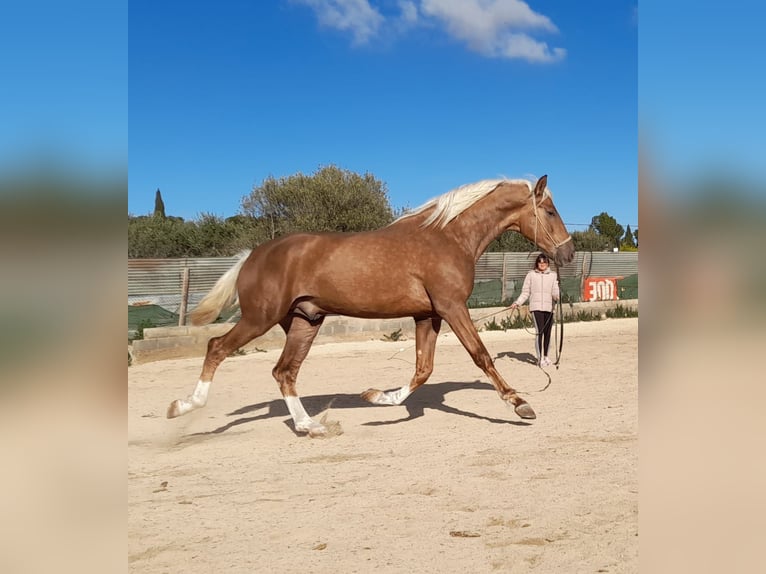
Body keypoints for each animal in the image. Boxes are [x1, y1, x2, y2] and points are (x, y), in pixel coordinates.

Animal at [168, 176, 576, 436]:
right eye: (550, 211)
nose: (568, 253)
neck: (448, 236)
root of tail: (252, 256)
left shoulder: (428, 315)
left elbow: (422, 370)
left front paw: (378, 397)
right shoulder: (451, 307)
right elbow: (481, 356)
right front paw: (520, 404)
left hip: (304, 321)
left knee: (284, 372)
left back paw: (311, 426)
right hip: (260, 317)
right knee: (217, 348)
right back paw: (183, 407)